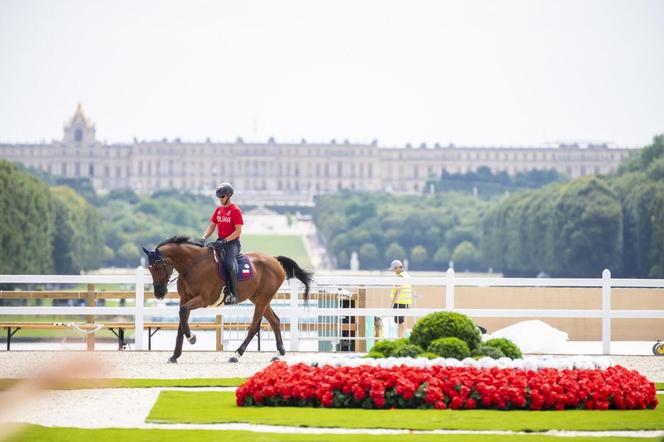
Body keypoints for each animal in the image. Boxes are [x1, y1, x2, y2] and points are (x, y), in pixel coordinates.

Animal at [139, 235, 314, 362]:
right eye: (149, 268)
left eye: (157, 267)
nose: (159, 293)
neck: (194, 265)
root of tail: (274, 259)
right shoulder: (185, 299)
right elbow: (182, 321)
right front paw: (175, 355)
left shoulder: (203, 300)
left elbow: (182, 315)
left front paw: (192, 338)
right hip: (259, 299)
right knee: (275, 321)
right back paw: (279, 352)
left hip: (262, 300)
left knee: (253, 327)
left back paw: (237, 354)